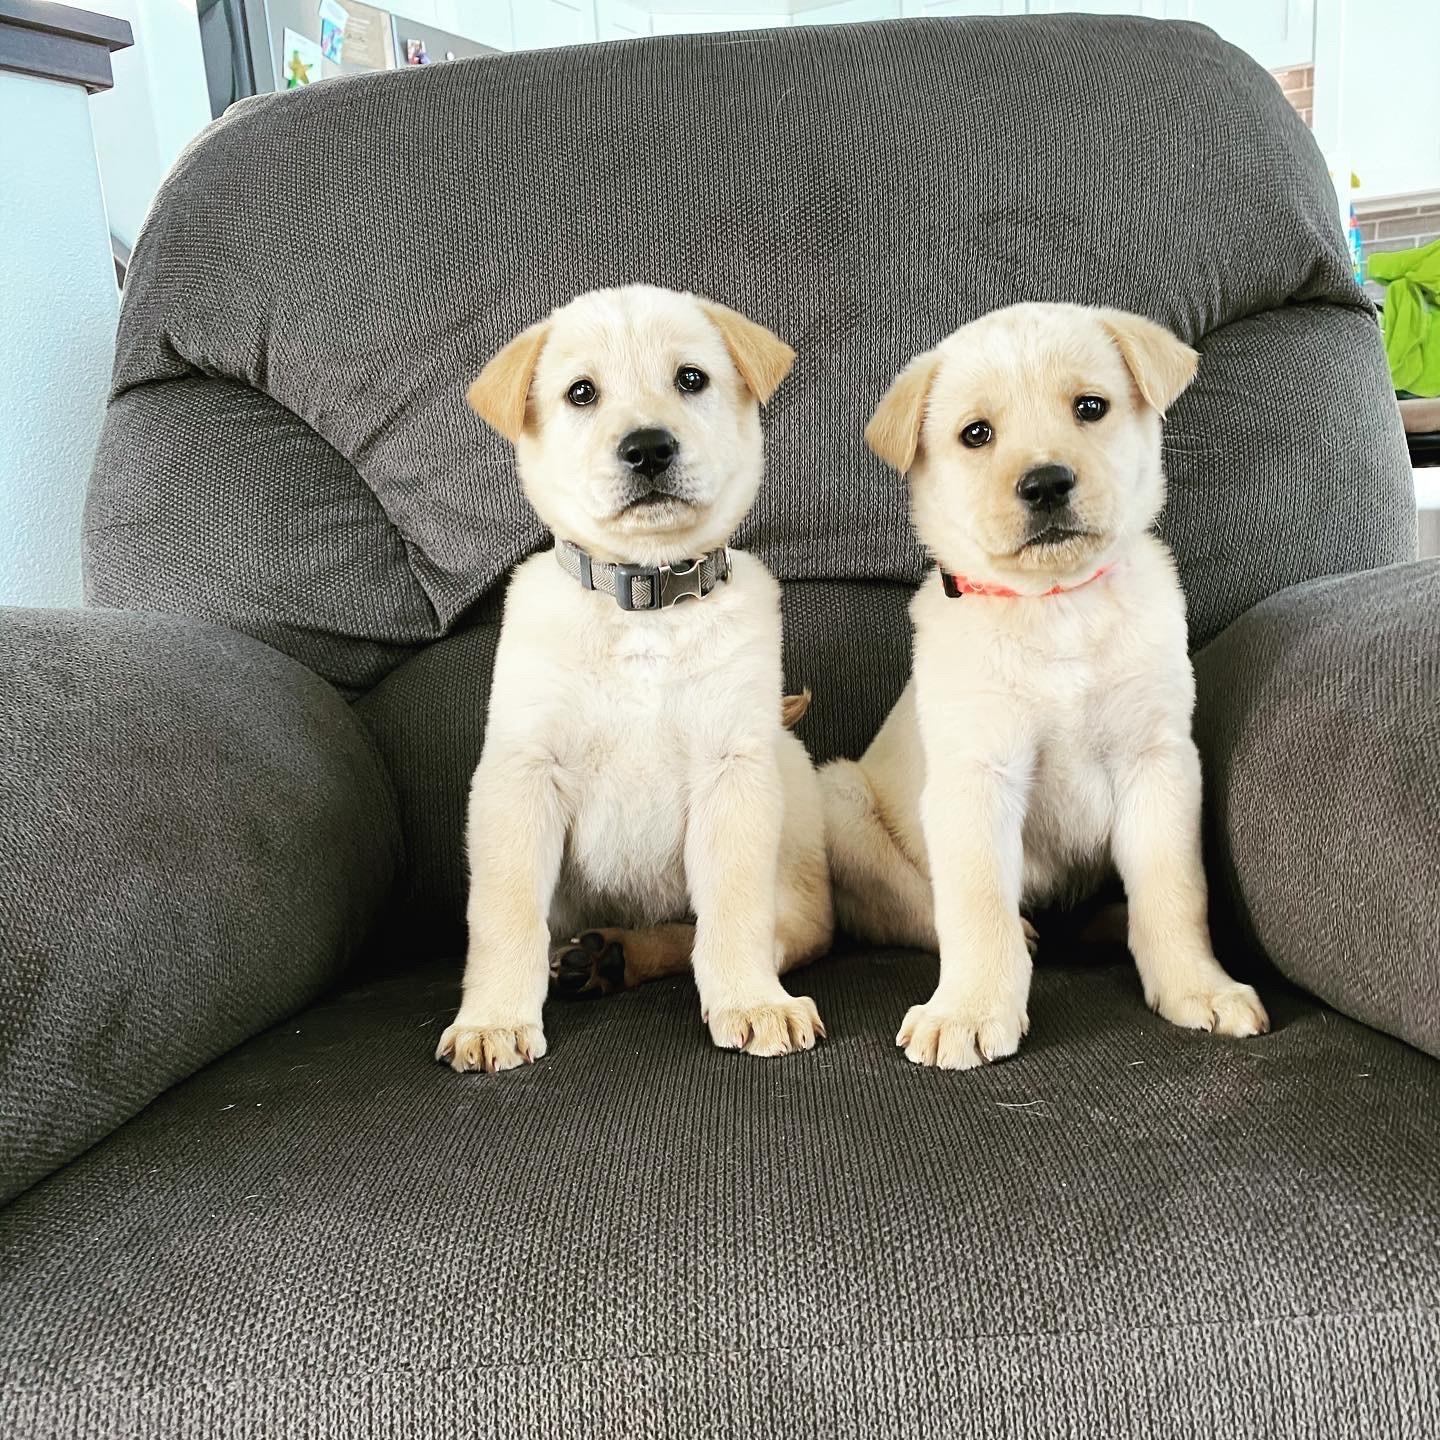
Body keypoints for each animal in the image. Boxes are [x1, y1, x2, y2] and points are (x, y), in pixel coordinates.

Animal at [434, 283, 835, 1071]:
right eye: (581, 392)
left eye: (691, 379)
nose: (648, 447)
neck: (646, 602)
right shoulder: (522, 775)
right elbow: (504, 915)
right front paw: (492, 1020)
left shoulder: (732, 774)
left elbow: (734, 911)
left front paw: (752, 1003)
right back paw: (595, 958)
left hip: (797, 867)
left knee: (733, 933)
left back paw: (624, 958)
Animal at [823, 303, 1272, 1071]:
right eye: (976, 434)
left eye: (1090, 407)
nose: (1046, 483)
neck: (1057, 605)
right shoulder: (978, 775)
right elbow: (975, 904)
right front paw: (970, 1011)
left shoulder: (1158, 762)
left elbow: (1175, 889)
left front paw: (1197, 986)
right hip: (843, 798)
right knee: (914, 909)